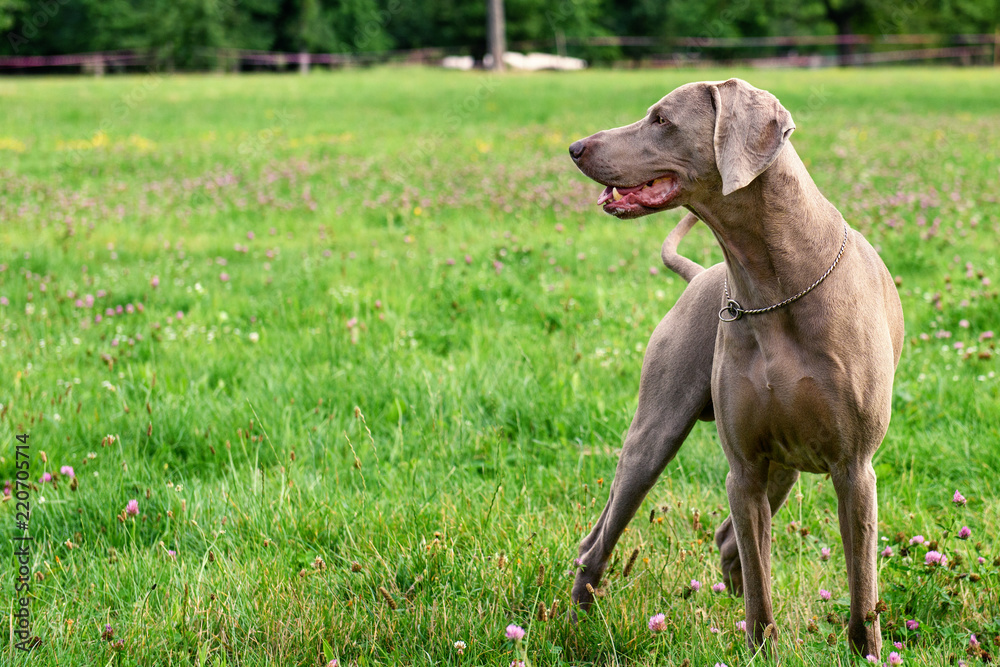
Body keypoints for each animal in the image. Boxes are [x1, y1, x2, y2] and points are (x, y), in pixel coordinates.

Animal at [568, 78, 904, 656]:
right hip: (655, 435)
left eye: (661, 119)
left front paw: (868, 655)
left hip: (787, 466)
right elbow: (761, 597)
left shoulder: (854, 467)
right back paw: (575, 620)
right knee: (602, 536)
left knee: (727, 540)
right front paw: (762, 649)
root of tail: (702, 274)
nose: (575, 148)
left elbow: (862, 590)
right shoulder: (744, 468)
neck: (773, 285)